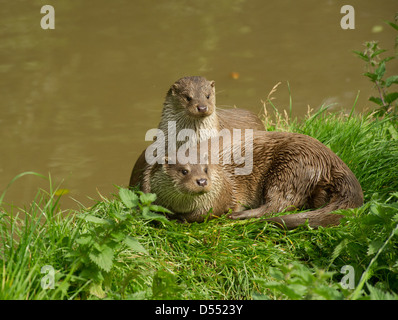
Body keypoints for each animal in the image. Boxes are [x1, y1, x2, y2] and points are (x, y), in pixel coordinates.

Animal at [141, 131, 364, 229]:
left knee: (279, 204)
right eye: (184, 171)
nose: (202, 181)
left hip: (291, 167)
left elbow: (204, 214)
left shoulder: (222, 194)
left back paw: (240, 215)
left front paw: (179, 219)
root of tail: (330, 158)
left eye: (205, 169)